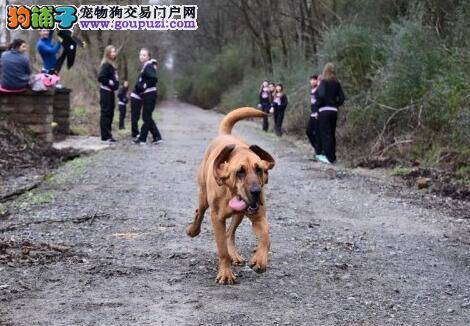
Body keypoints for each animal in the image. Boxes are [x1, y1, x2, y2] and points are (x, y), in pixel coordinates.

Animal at [186, 108, 276, 284]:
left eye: (259, 170)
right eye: (240, 172)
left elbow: (266, 236)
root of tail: (224, 135)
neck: (230, 192)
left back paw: (235, 255)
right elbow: (222, 250)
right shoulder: (217, 219)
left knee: (230, 233)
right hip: (203, 197)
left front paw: (260, 259)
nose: (256, 192)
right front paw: (226, 273)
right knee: (199, 212)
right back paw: (193, 230)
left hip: (239, 215)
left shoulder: (259, 217)